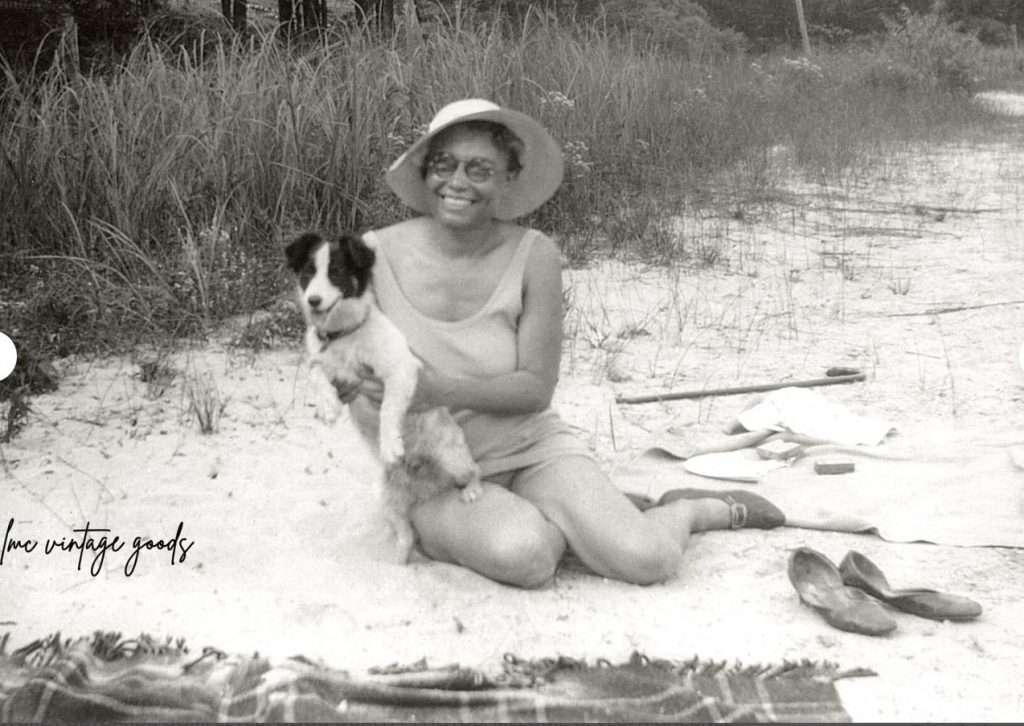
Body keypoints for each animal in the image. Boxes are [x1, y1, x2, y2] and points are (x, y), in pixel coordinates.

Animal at [284, 232, 483, 561]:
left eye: (336, 271)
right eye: (308, 273)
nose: (313, 300)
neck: (344, 335)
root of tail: (424, 486)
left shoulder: (400, 368)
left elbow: (388, 408)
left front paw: (390, 442)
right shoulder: (326, 366)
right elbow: (316, 373)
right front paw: (327, 406)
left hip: (454, 458)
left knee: (475, 471)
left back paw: (471, 490)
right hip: (387, 496)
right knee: (406, 533)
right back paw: (399, 559)